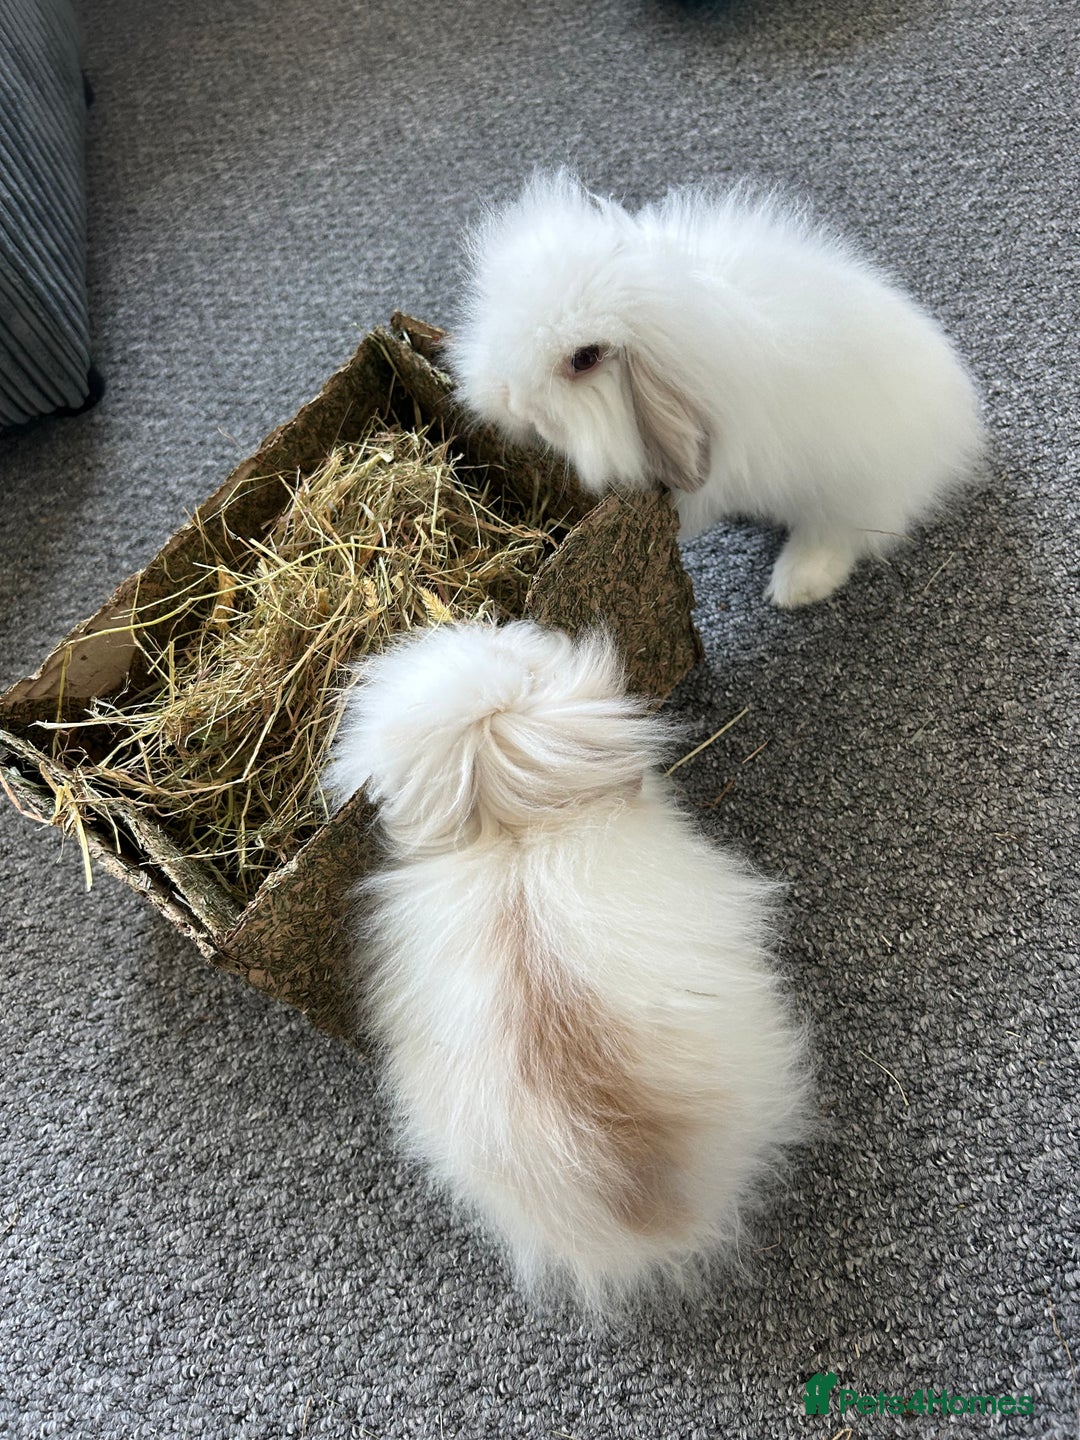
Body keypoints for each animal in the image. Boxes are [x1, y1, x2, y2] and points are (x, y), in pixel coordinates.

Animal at [448, 171, 987, 608]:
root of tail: (956, 416)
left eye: (585, 359)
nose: (515, 404)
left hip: (850, 490)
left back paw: (795, 587)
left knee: (843, 534)